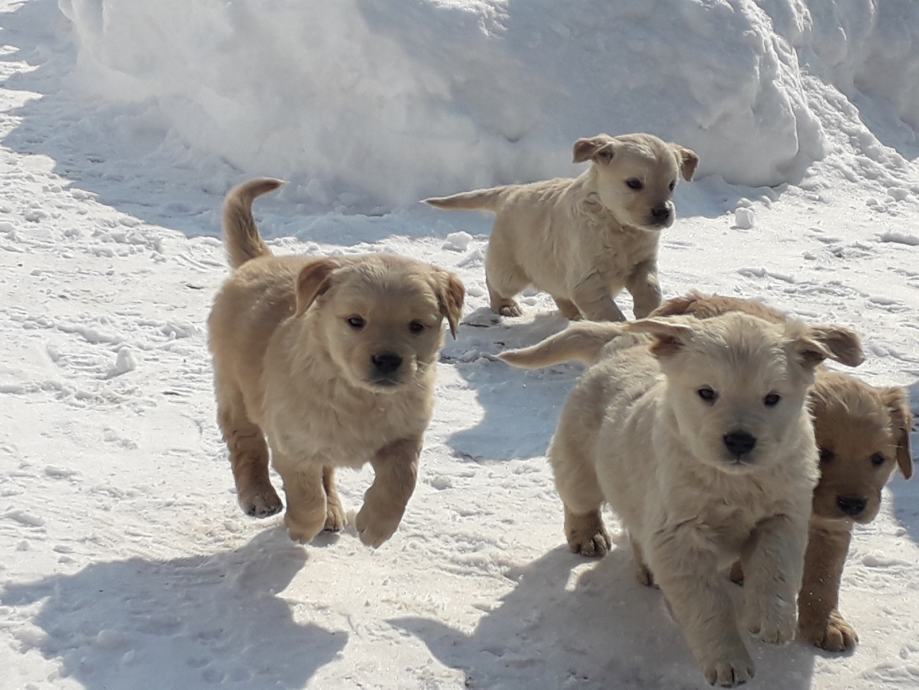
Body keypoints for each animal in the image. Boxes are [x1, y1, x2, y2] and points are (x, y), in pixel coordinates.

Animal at [210, 180, 468, 544]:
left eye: (417, 326)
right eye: (355, 321)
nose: (387, 360)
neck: (359, 397)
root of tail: (260, 261)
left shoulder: (405, 436)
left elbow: (403, 479)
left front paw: (376, 526)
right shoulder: (294, 444)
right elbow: (306, 494)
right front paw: (301, 527)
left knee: (327, 471)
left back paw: (333, 510)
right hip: (235, 387)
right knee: (245, 443)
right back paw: (260, 497)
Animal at [424, 133, 696, 322]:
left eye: (672, 184)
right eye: (634, 183)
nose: (663, 212)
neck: (618, 224)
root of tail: (513, 191)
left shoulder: (642, 263)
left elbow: (650, 288)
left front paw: (649, 311)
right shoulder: (587, 278)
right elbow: (607, 311)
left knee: (559, 291)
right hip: (509, 271)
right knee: (494, 281)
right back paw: (505, 306)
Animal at [504, 314, 864, 688]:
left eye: (772, 398)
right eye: (707, 393)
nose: (739, 440)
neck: (733, 482)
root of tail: (620, 341)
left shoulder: (783, 514)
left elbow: (775, 566)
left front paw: (772, 620)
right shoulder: (680, 535)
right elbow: (708, 605)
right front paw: (727, 660)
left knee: (637, 528)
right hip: (583, 467)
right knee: (577, 498)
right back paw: (588, 536)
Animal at [656, 292, 912, 652]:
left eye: (879, 459)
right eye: (825, 453)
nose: (853, 504)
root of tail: (703, 297)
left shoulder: (829, 525)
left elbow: (824, 575)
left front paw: (826, 623)